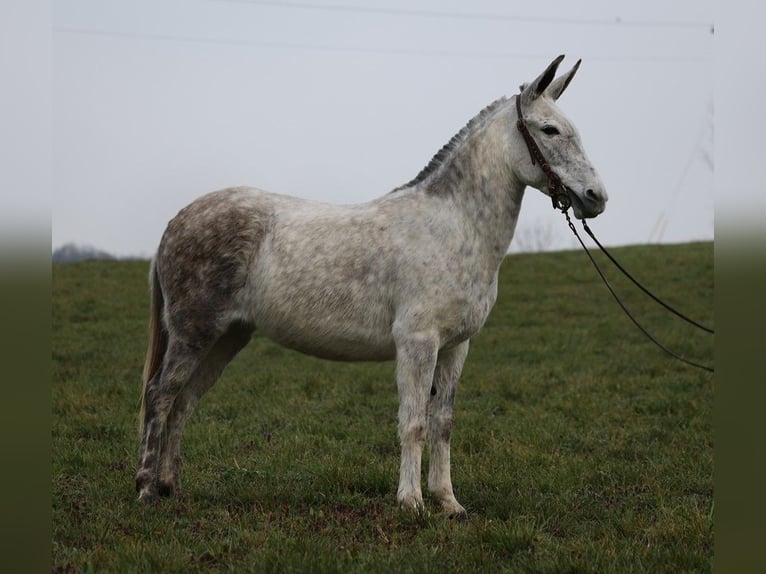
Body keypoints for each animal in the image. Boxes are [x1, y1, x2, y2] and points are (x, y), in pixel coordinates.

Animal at [136, 56, 608, 520]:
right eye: (549, 129)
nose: (596, 197)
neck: (454, 225)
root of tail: (176, 223)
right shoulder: (417, 343)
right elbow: (413, 422)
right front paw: (411, 502)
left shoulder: (456, 347)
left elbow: (443, 423)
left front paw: (448, 502)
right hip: (194, 333)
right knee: (160, 395)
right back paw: (145, 490)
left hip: (227, 336)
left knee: (184, 399)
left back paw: (170, 486)